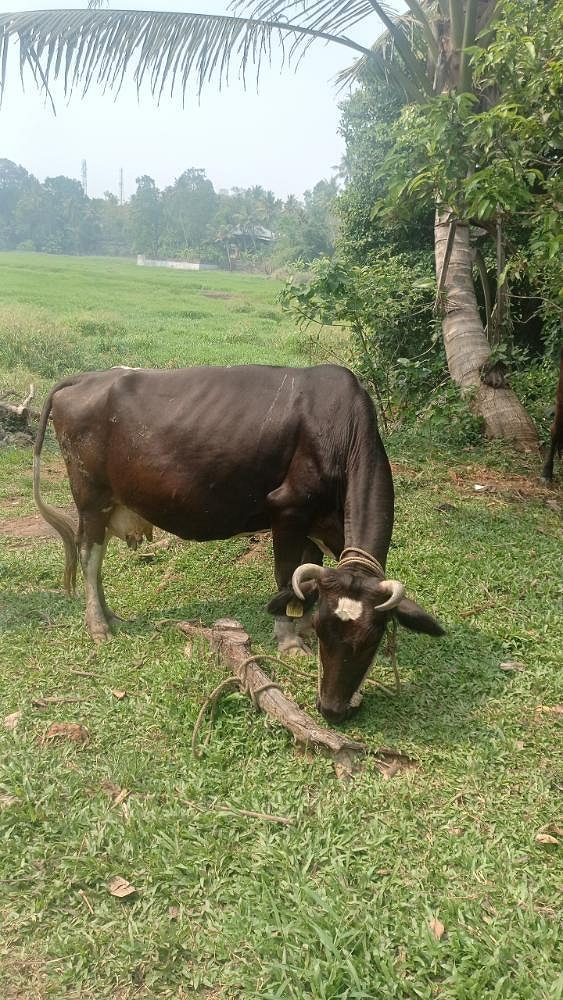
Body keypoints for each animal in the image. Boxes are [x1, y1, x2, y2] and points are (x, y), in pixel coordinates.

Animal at [33, 364, 444, 723]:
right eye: (327, 634)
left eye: (372, 639)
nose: (332, 709)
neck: (340, 431)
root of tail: (87, 377)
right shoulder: (288, 508)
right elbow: (286, 576)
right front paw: (288, 640)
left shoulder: (317, 526)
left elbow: (305, 576)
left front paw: (300, 625)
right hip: (91, 498)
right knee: (89, 556)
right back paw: (98, 625)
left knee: (95, 557)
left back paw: (110, 615)